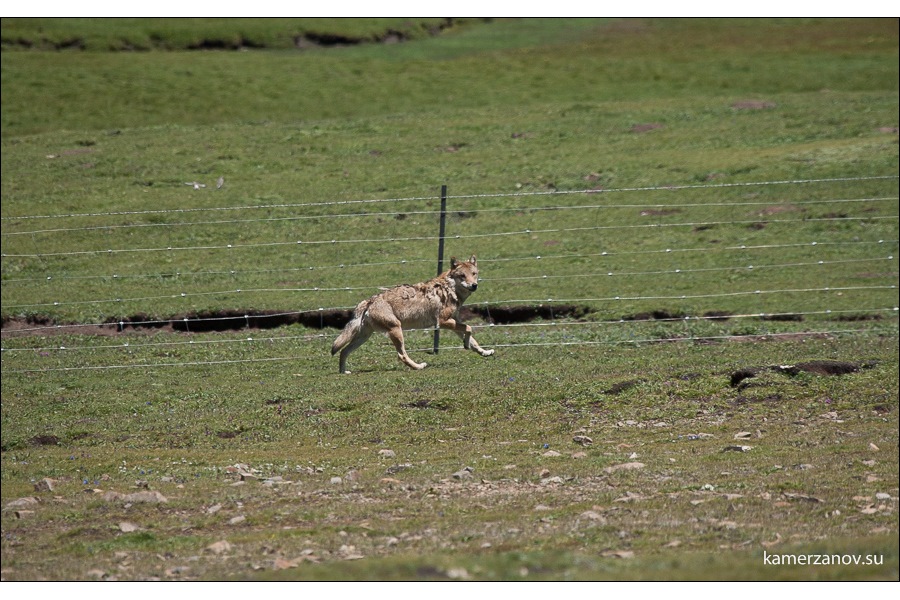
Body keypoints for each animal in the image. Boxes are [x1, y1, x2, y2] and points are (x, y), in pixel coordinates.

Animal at [334, 254, 496, 376]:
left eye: (474, 274)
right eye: (462, 276)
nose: (474, 285)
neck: (451, 289)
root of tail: (370, 300)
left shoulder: (454, 322)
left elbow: (473, 339)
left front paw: (483, 351)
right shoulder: (442, 322)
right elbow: (469, 328)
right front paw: (467, 345)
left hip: (364, 337)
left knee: (343, 351)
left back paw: (343, 372)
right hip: (396, 330)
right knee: (401, 355)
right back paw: (418, 366)